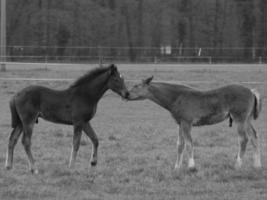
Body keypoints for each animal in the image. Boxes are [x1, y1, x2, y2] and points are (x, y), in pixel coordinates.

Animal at [127, 76, 264, 170]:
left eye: (137, 86)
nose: (126, 94)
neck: (177, 97)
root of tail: (251, 91)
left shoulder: (187, 123)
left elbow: (189, 144)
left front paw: (191, 166)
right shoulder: (180, 123)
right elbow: (180, 145)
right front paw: (177, 167)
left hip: (239, 118)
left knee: (243, 139)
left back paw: (237, 165)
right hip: (247, 119)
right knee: (254, 136)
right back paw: (257, 165)